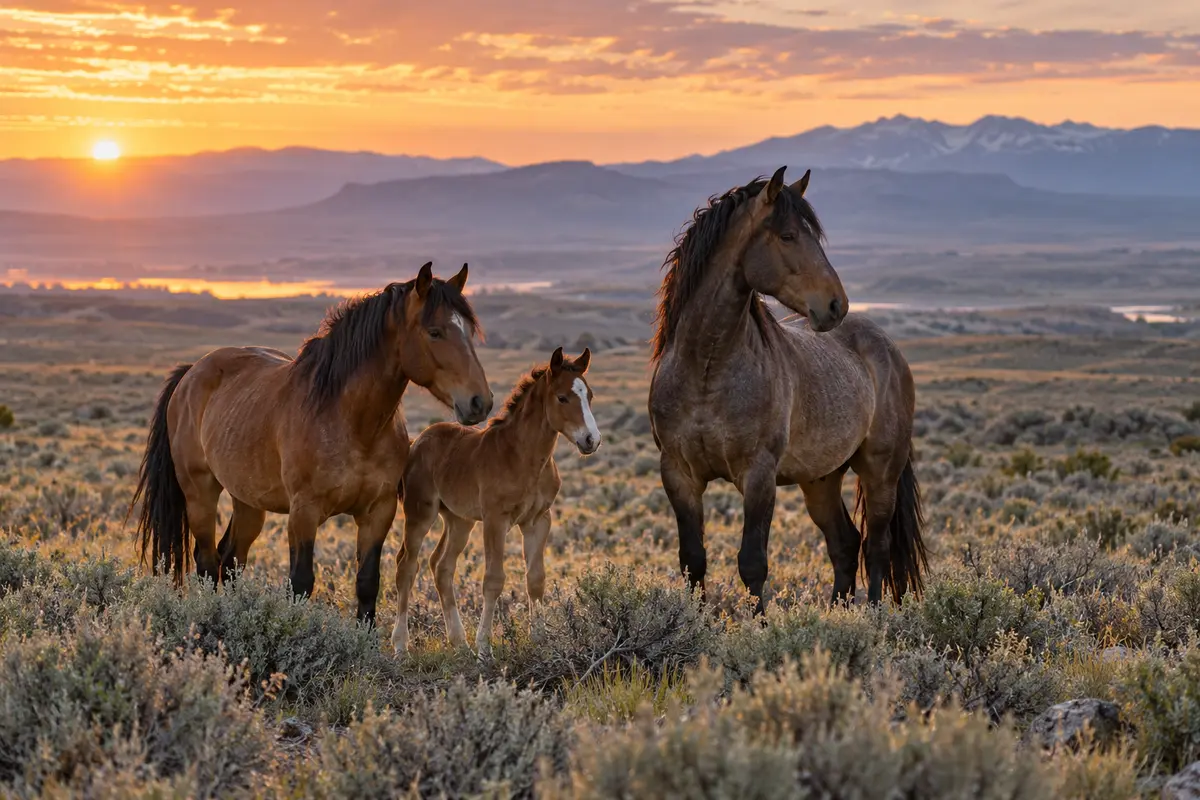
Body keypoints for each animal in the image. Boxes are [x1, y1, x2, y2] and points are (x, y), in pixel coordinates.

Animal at [129, 262, 493, 626]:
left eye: (469, 331)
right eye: (434, 332)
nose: (480, 402)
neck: (352, 421)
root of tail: (192, 372)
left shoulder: (379, 511)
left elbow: (368, 583)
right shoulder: (304, 512)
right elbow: (301, 584)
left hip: (247, 499)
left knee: (230, 560)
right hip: (200, 492)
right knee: (206, 563)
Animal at [392, 346, 600, 657]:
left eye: (590, 396)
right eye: (562, 397)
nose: (591, 440)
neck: (523, 457)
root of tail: (417, 442)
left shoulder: (538, 520)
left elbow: (535, 578)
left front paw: (539, 639)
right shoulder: (495, 519)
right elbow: (493, 580)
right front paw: (484, 647)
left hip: (459, 520)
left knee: (441, 566)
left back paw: (458, 641)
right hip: (420, 513)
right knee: (407, 565)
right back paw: (401, 644)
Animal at [647, 166, 928, 610]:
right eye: (788, 235)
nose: (836, 305)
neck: (707, 370)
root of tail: (887, 346)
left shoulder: (759, 475)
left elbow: (752, 564)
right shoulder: (678, 473)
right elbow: (693, 560)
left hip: (880, 469)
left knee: (877, 547)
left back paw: (874, 614)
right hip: (821, 479)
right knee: (845, 544)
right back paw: (838, 612)